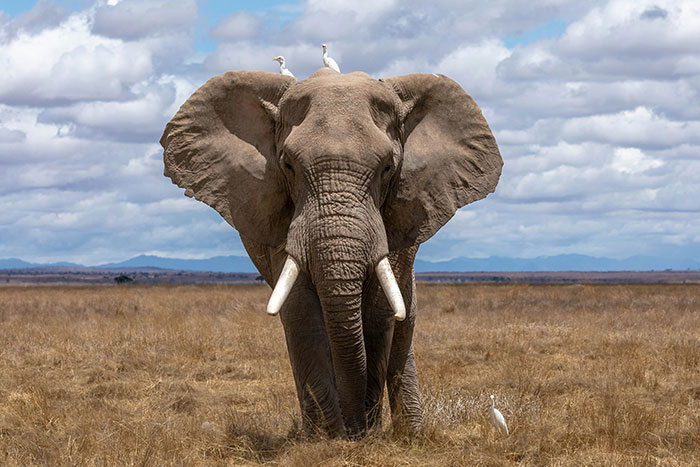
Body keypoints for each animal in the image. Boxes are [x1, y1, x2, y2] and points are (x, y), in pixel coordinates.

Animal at [160, 67, 502, 438]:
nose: (355, 430)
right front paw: (327, 438)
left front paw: (364, 434)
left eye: (387, 167)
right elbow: (301, 311)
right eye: (288, 165)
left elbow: (379, 312)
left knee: (403, 324)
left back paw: (411, 433)